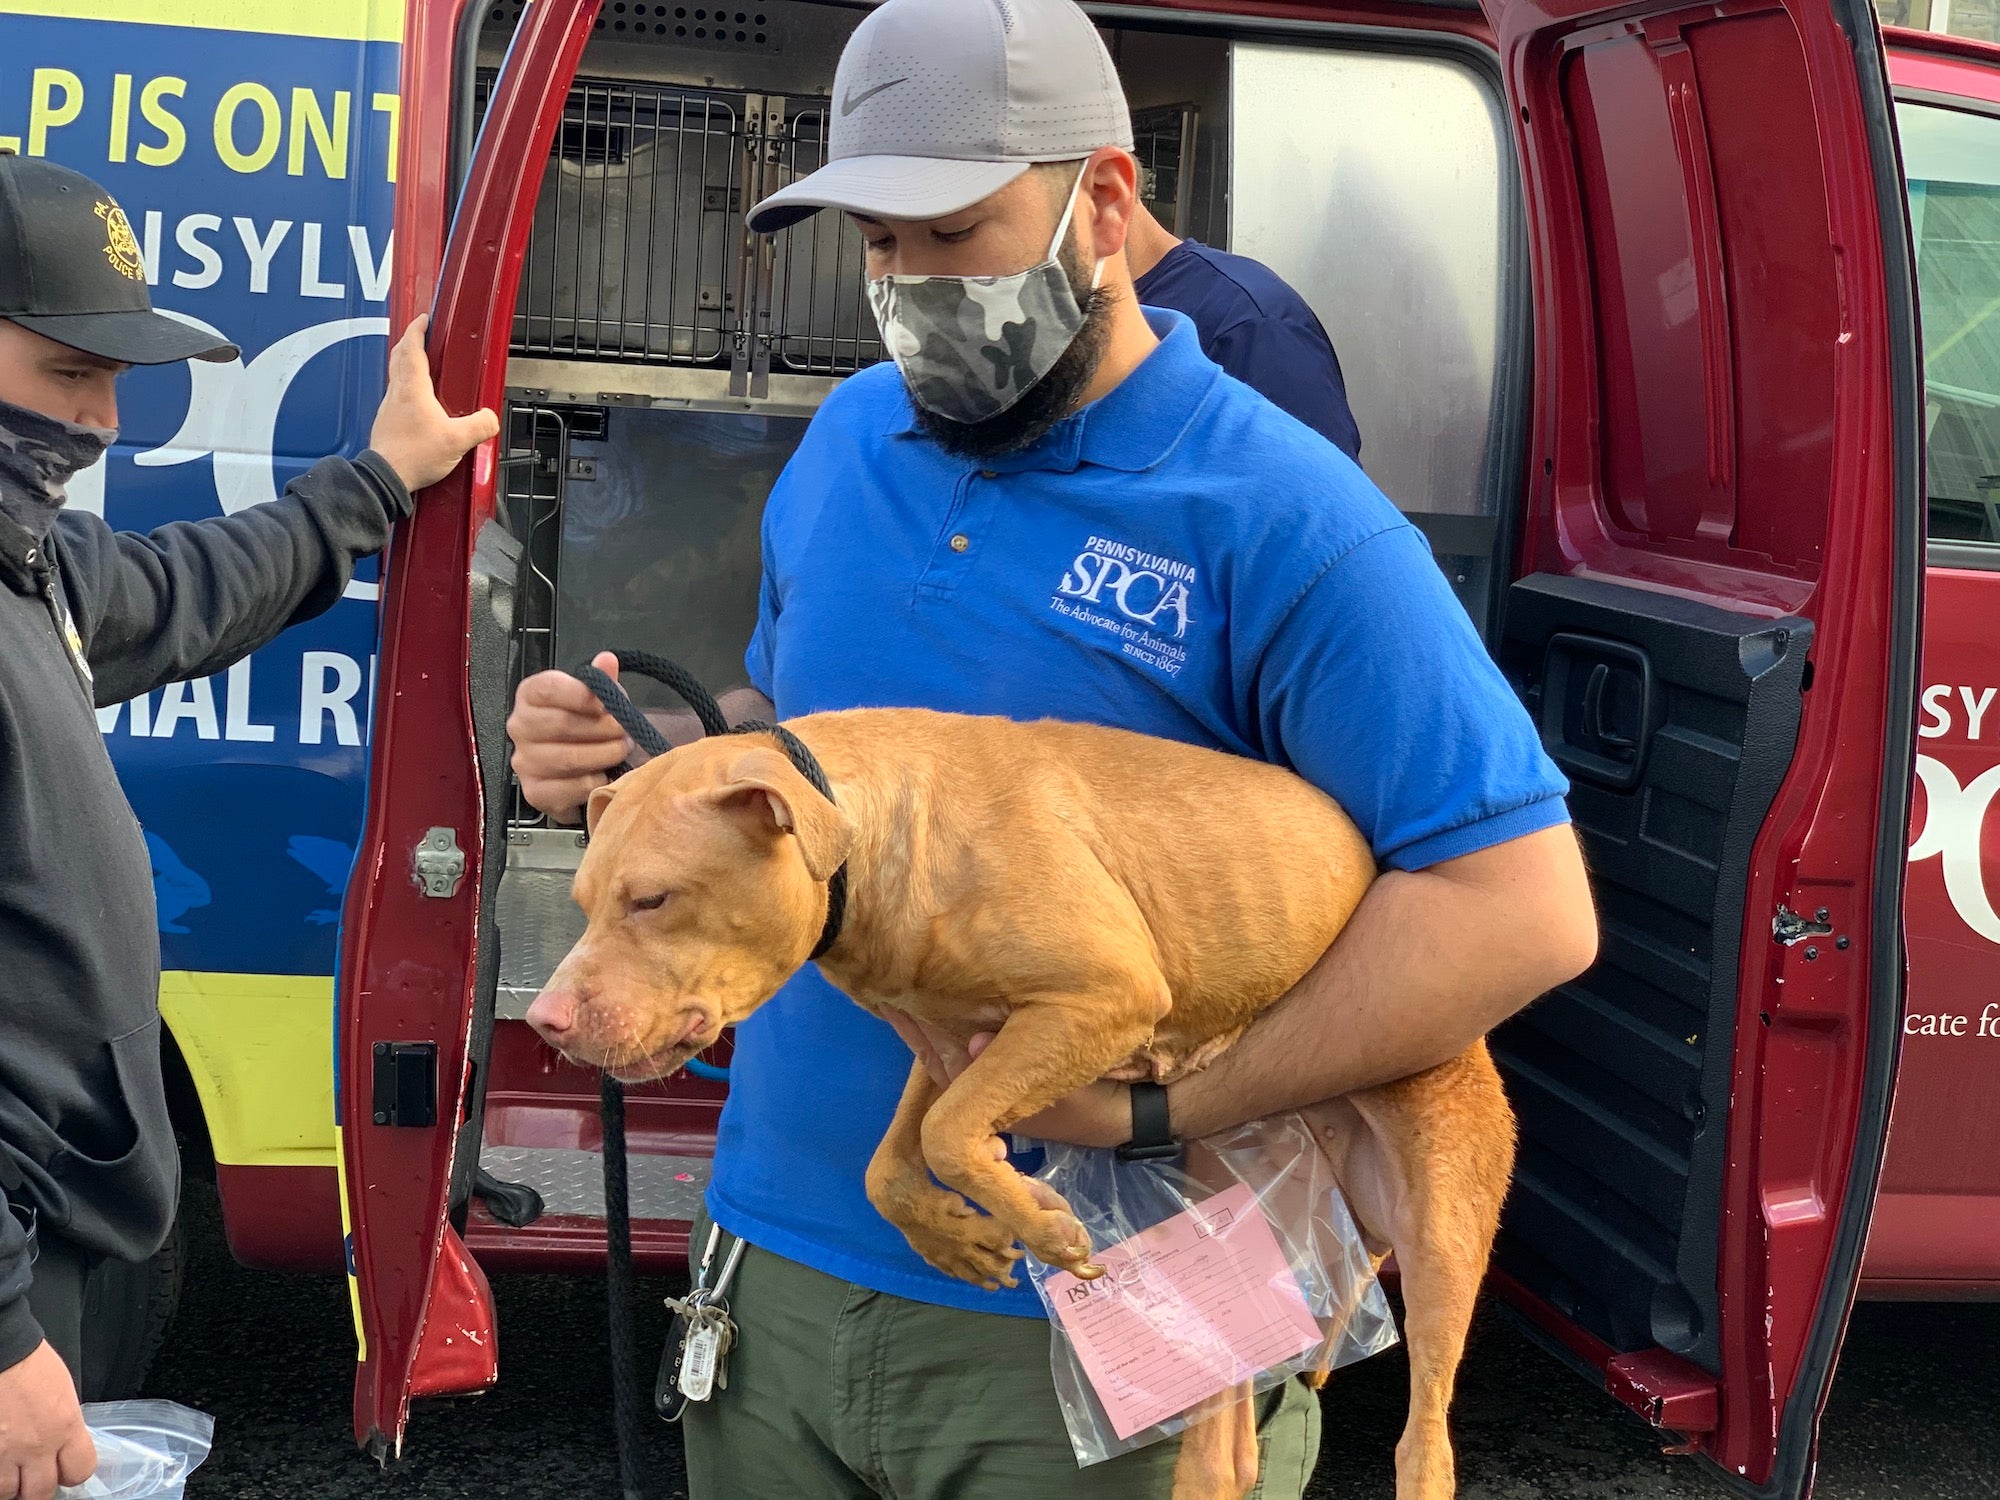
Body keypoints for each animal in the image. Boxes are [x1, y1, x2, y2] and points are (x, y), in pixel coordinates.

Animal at [524, 712, 1504, 1496]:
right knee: (1230, 1435)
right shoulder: (949, 1038)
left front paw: (1040, 1225)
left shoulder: (1098, 999)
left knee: (1427, 1438)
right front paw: (960, 1238)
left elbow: (948, 1133)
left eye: (653, 898)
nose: (544, 1020)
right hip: (1232, 1217)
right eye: (582, 901)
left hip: (1443, 1236)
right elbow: (895, 1160)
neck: (877, 833)